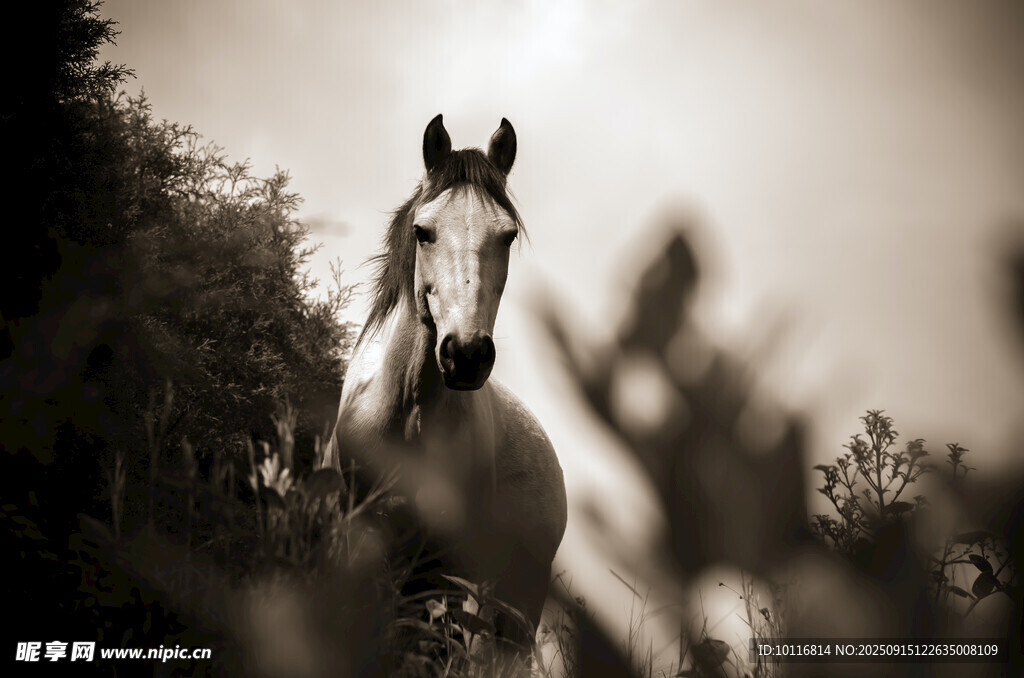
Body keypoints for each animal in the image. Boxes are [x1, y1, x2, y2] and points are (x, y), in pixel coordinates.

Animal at [324, 115, 567, 649]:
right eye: (423, 231)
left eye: (507, 236)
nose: (466, 354)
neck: (407, 413)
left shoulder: (444, 567)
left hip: (514, 602)